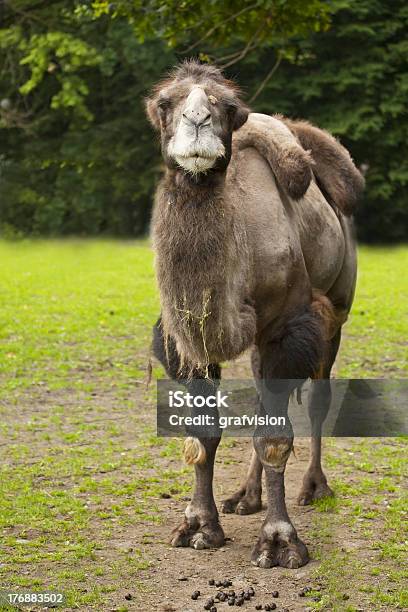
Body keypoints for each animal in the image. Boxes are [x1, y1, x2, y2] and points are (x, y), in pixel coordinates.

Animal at [146, 59, 364, 568]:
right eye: (164, 103)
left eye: (228, 107)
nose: (198, 121)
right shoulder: (187, 338)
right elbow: (204, 433)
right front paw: (198, 526)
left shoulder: (288, 327)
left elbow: (275, 438)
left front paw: (280, 542)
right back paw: (246, 495)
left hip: (337, 311)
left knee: (318, 398)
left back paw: (315, 487)